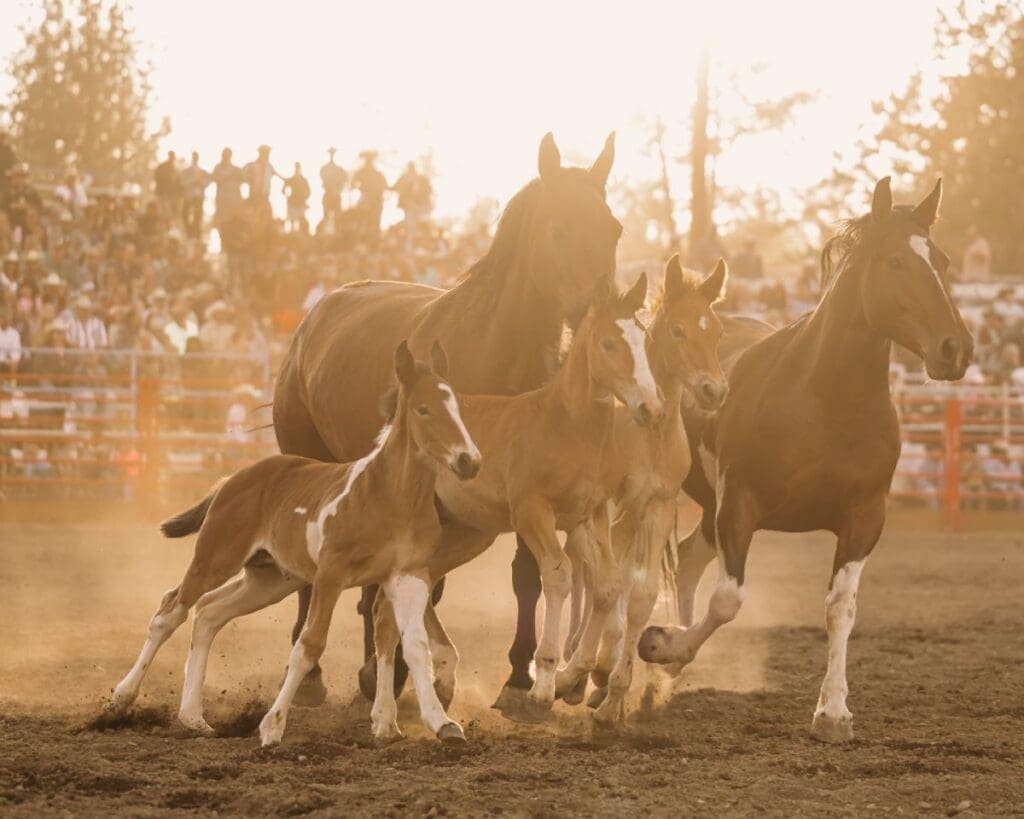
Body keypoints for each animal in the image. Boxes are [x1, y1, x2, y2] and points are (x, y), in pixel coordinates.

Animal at [107, 341, 481, 746]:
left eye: (459, 408)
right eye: (423, 409)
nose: (469, 461)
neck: (388, 495)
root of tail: (230, 480)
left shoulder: (407, 575)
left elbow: (412, 645)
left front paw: (436, 723)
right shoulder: (331, 575)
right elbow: (309, 645)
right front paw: (272, 726)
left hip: (269, 579)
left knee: (208, 614)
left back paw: (193, 717)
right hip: (215, 557)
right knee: (170, 611)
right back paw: (121, 698)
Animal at [272, 133, 623, 706]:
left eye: (614, 229)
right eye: (558, 228)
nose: (603, 313)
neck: (495, 353)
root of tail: (313, 319)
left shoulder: (525, 486)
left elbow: (526, 575)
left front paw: (518, 673)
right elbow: (422, 583)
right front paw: (408, 672)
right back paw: (318, 677)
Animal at [370, 273, 662, 725]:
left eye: (645, 340)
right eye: (608, 343)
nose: (650, 408)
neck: (566, 426)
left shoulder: (589, 515)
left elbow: (608, 584)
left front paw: (582, 677)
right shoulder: (532, 512)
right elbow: (558, 575)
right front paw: (543, 685)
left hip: (466, 533)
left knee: (408, 593)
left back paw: (436, 682)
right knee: (390, 601)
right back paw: (390, 707)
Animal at [551, 255, 729, 724]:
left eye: (717, 331)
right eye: (678, 330)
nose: (714, 390)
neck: (648, 433)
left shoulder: (656, 507)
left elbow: (639, 596)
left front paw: (612, 692)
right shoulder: (610, 509)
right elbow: (608, 585)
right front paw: (583, 672)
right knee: (585, 575)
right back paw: (572, 665)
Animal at [638, 177, 974, 743]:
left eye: (944, 261)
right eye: (895, 262)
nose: (957, 348)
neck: (824, 400)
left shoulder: (864, 519)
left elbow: (841, 608)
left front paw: (833, 711)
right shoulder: (739, 506)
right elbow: (728, 600)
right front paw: (663, 642)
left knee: (685, 561)